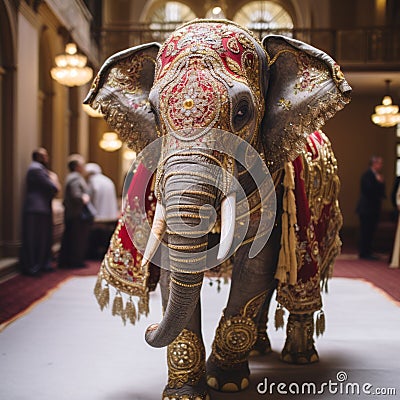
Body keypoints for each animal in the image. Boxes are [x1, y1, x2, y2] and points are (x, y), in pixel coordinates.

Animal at [85, 19, 350, 400]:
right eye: (153, 111)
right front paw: (185, 394)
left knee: (298, 281)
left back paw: (299, 358)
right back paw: (260, 349)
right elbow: (173, 270)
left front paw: (227, 382)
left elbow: (256, 264)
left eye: (242, 112)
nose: (149, 328)